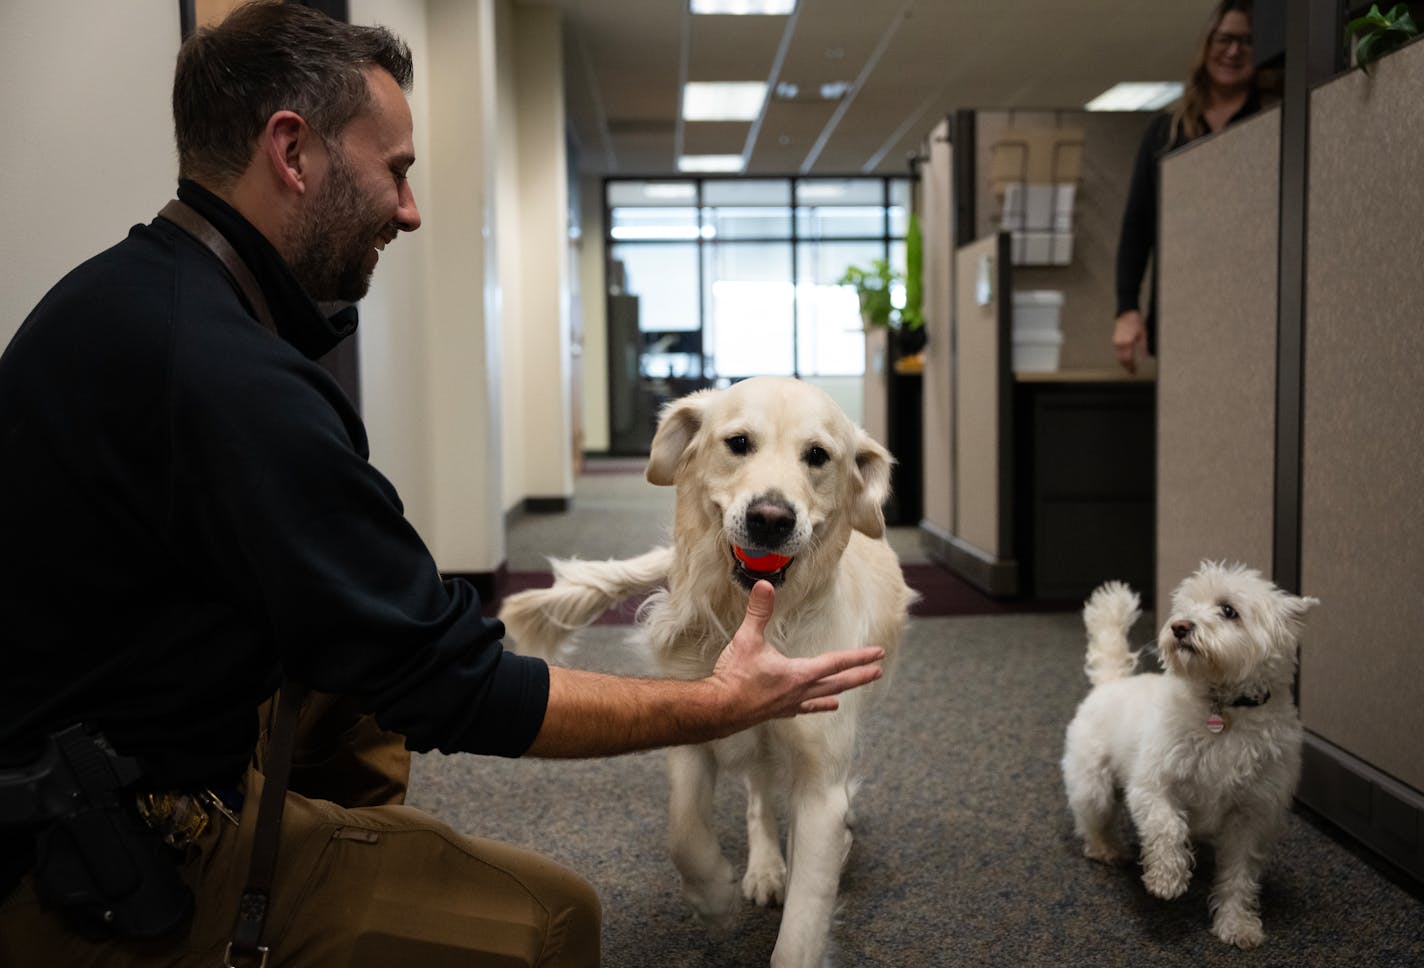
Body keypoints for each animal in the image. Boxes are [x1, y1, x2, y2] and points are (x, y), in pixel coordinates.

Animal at [498, 378, 911, 968]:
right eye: (738, 443)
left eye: (817, 456)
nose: (770, 518)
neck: (753, 616)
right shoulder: (697, 716)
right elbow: (685, 832)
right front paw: (713, 897)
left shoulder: (821, 781)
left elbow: (803, 922)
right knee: (758, 792)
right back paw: (764, 867)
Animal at [1065, 563, 1315, 950]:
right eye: (1186, 606)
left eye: (1228, 610)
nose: (1179, 626)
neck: (1223, 707)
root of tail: (1112, 682)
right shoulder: (1152, 787)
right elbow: (1168, 826)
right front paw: (1166, 879)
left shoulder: (1251, 817)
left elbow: (1239, 876)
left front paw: (1237, 924)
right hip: (1094, 786)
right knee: (1092, 821)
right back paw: (1106, 848)